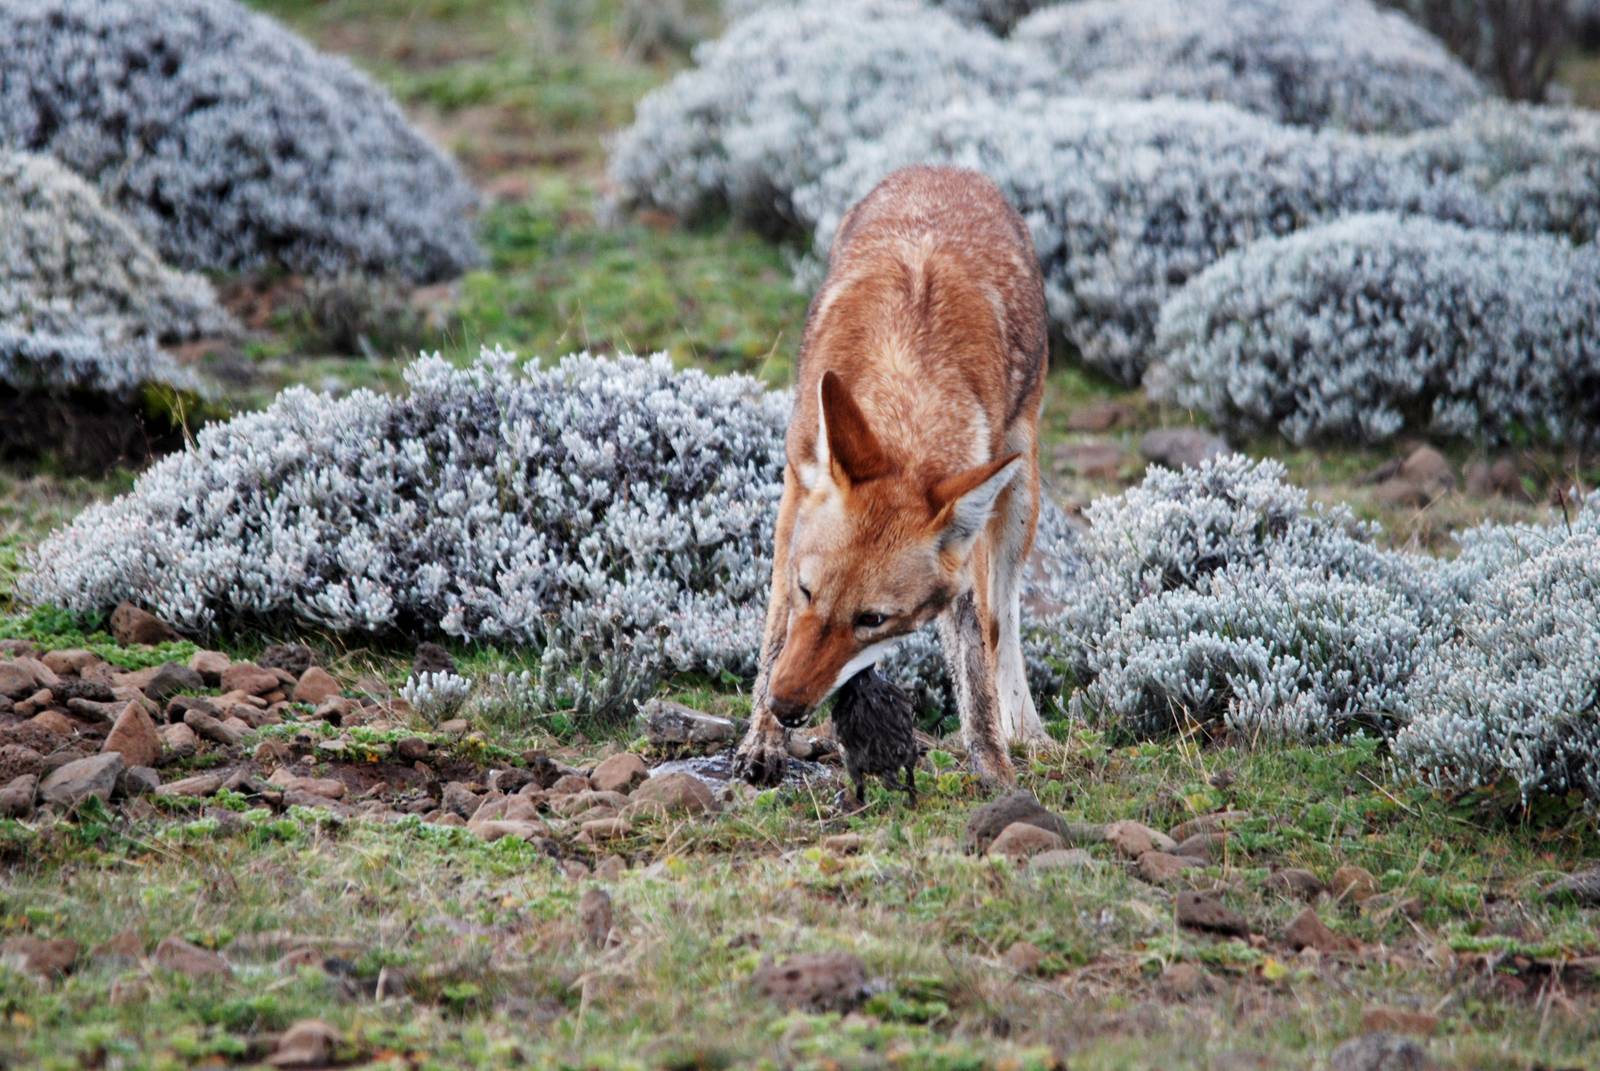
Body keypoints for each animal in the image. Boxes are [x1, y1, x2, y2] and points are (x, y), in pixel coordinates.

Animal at [732, 165, 1048, 787]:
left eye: (872, 619)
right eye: (808, 591)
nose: (786, 705)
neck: (907, 387)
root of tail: (945, 168)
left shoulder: (967, 558)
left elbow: (976, 668)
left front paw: (995, 768)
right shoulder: (794, 498)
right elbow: (774, 634)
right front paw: (762, 739)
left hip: (1019, 492)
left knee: (1004, 621)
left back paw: (1026, 730)